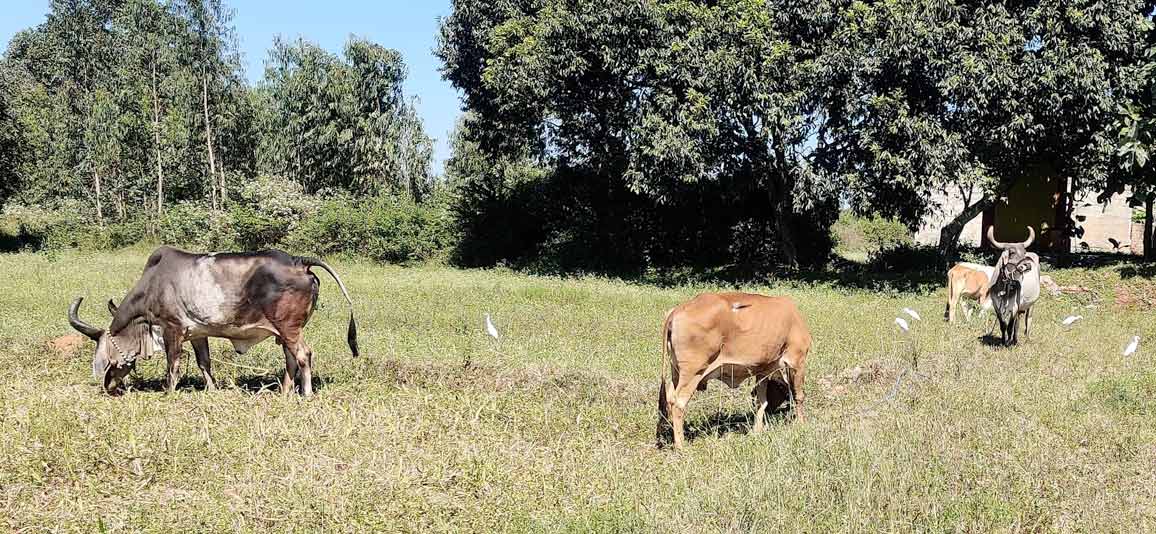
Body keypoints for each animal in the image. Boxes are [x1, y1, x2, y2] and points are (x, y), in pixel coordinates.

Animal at [67, 247, 356, 395]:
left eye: (107, 356)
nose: (108, 386)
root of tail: (299, 262)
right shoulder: (198, 334)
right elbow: (204, 363)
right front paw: (212, 390)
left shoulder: (172, 329)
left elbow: (172, 366)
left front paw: (168, 393)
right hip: (284, 332)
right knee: (290, 360)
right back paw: (284, 393)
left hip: (289, 328)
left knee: (304, 355)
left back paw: (305, 393)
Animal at [661, 293, 813, 448]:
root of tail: (676, 310)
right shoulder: (797, 360)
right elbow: (799, 395)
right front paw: (801, 424)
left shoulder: (762, 371)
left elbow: (761, 401)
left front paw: (757, 430)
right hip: (693, 373)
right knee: (678, 403)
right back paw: (681, 445)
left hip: (676, 372)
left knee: (669, 398)